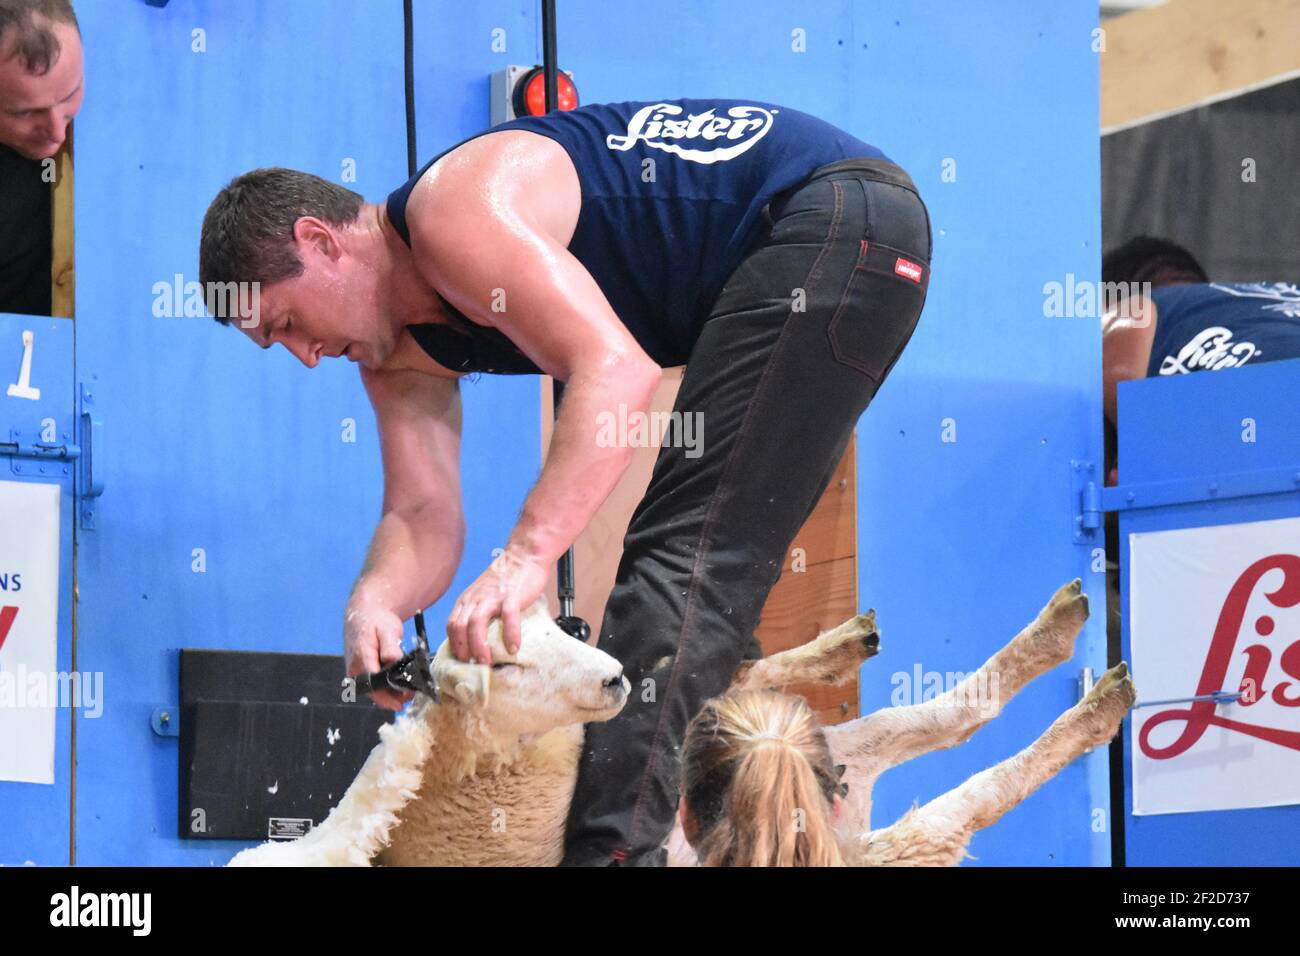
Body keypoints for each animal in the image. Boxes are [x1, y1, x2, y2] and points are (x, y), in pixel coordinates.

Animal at [236, 574, 1138, 868]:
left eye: (559, 625)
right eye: (502, 665)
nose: (610, 675)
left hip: (841, 751)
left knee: (952, 714)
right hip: (880, 832)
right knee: (966, 786)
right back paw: (1094, 705)